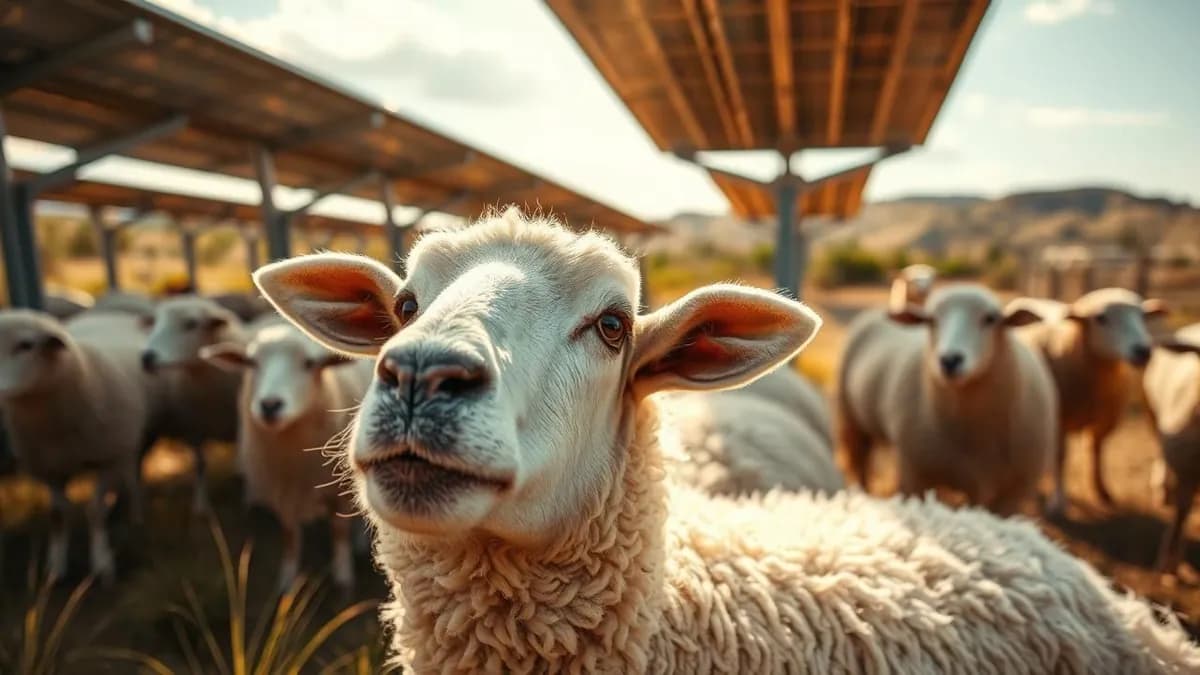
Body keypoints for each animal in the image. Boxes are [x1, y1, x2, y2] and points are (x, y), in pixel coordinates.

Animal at [0, 310, 155, 584]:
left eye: (25, 345)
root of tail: (106, 313)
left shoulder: (107, 460)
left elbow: (95, 511)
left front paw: (102, 564)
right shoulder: (48, 470)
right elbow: (58, 514)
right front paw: (55, 569)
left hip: (125, 445)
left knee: (131, 474)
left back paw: (135, 515)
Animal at [200, 323, 372, 591]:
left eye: (309, 363)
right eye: (251, 362)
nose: (270, 405)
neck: (295, 460)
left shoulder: (338, 492)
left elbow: (339, 531)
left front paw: (343, 576)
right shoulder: (281, 491)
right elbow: (290, 535)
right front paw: (287, 580)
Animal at [837, 284, 1056, 515]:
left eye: (990, 319)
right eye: (931, 320)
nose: (950, 360)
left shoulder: (1013, 492)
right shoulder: (916, 474)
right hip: (850, 418)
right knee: (858, 464)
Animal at [1007, 288, 1167, 514]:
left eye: (1143, 316)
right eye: (1101, 318)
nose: (1143, 350)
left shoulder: (1104, 420)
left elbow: (1096, 450)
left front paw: (1101, 491)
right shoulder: (1058, 420)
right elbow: (1060, 457)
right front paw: (1058, 501)